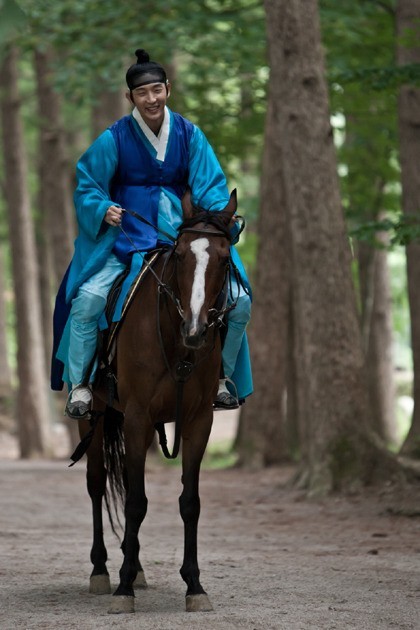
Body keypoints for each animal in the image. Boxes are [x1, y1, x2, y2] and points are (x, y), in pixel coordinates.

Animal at [77, 189, 238, 616]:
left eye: (225, 258)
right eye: (180, 254)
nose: (195, 329)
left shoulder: (198, 421)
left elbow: (190, 502)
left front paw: (194, 584)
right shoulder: (135, 416)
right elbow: (135, 502)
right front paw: (122, 588)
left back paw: (135, 566)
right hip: (95, 415)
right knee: (97, 483)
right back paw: (102, 569)